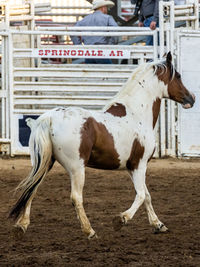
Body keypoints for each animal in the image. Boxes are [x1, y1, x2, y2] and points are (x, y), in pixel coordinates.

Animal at [8, 51, 195, 239]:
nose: (191, 98)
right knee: (75, 197)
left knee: (32, 189)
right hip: (76, 168)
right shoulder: (139, 165)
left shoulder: (132, 167)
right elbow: (141, 195)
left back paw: (22, 225)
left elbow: (147, 195)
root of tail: (48, 119)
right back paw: (89, 231)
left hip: (43, 163)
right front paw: (121, 219)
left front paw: (158, 225)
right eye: (178, 76)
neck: (136, 114)